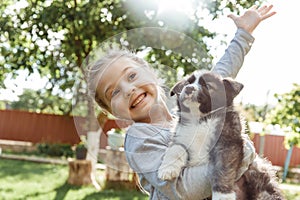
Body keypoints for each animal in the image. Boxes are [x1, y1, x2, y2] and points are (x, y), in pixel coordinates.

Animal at [157, 71, 284, 200]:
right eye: (187, 83)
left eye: (208, 85)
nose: (188, 88)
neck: (201, 119)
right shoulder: (181, 136)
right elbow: (175, 148)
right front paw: (167, 168)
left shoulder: (227, 144)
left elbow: (223, 169)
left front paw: (223, 195)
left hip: (263, 189)